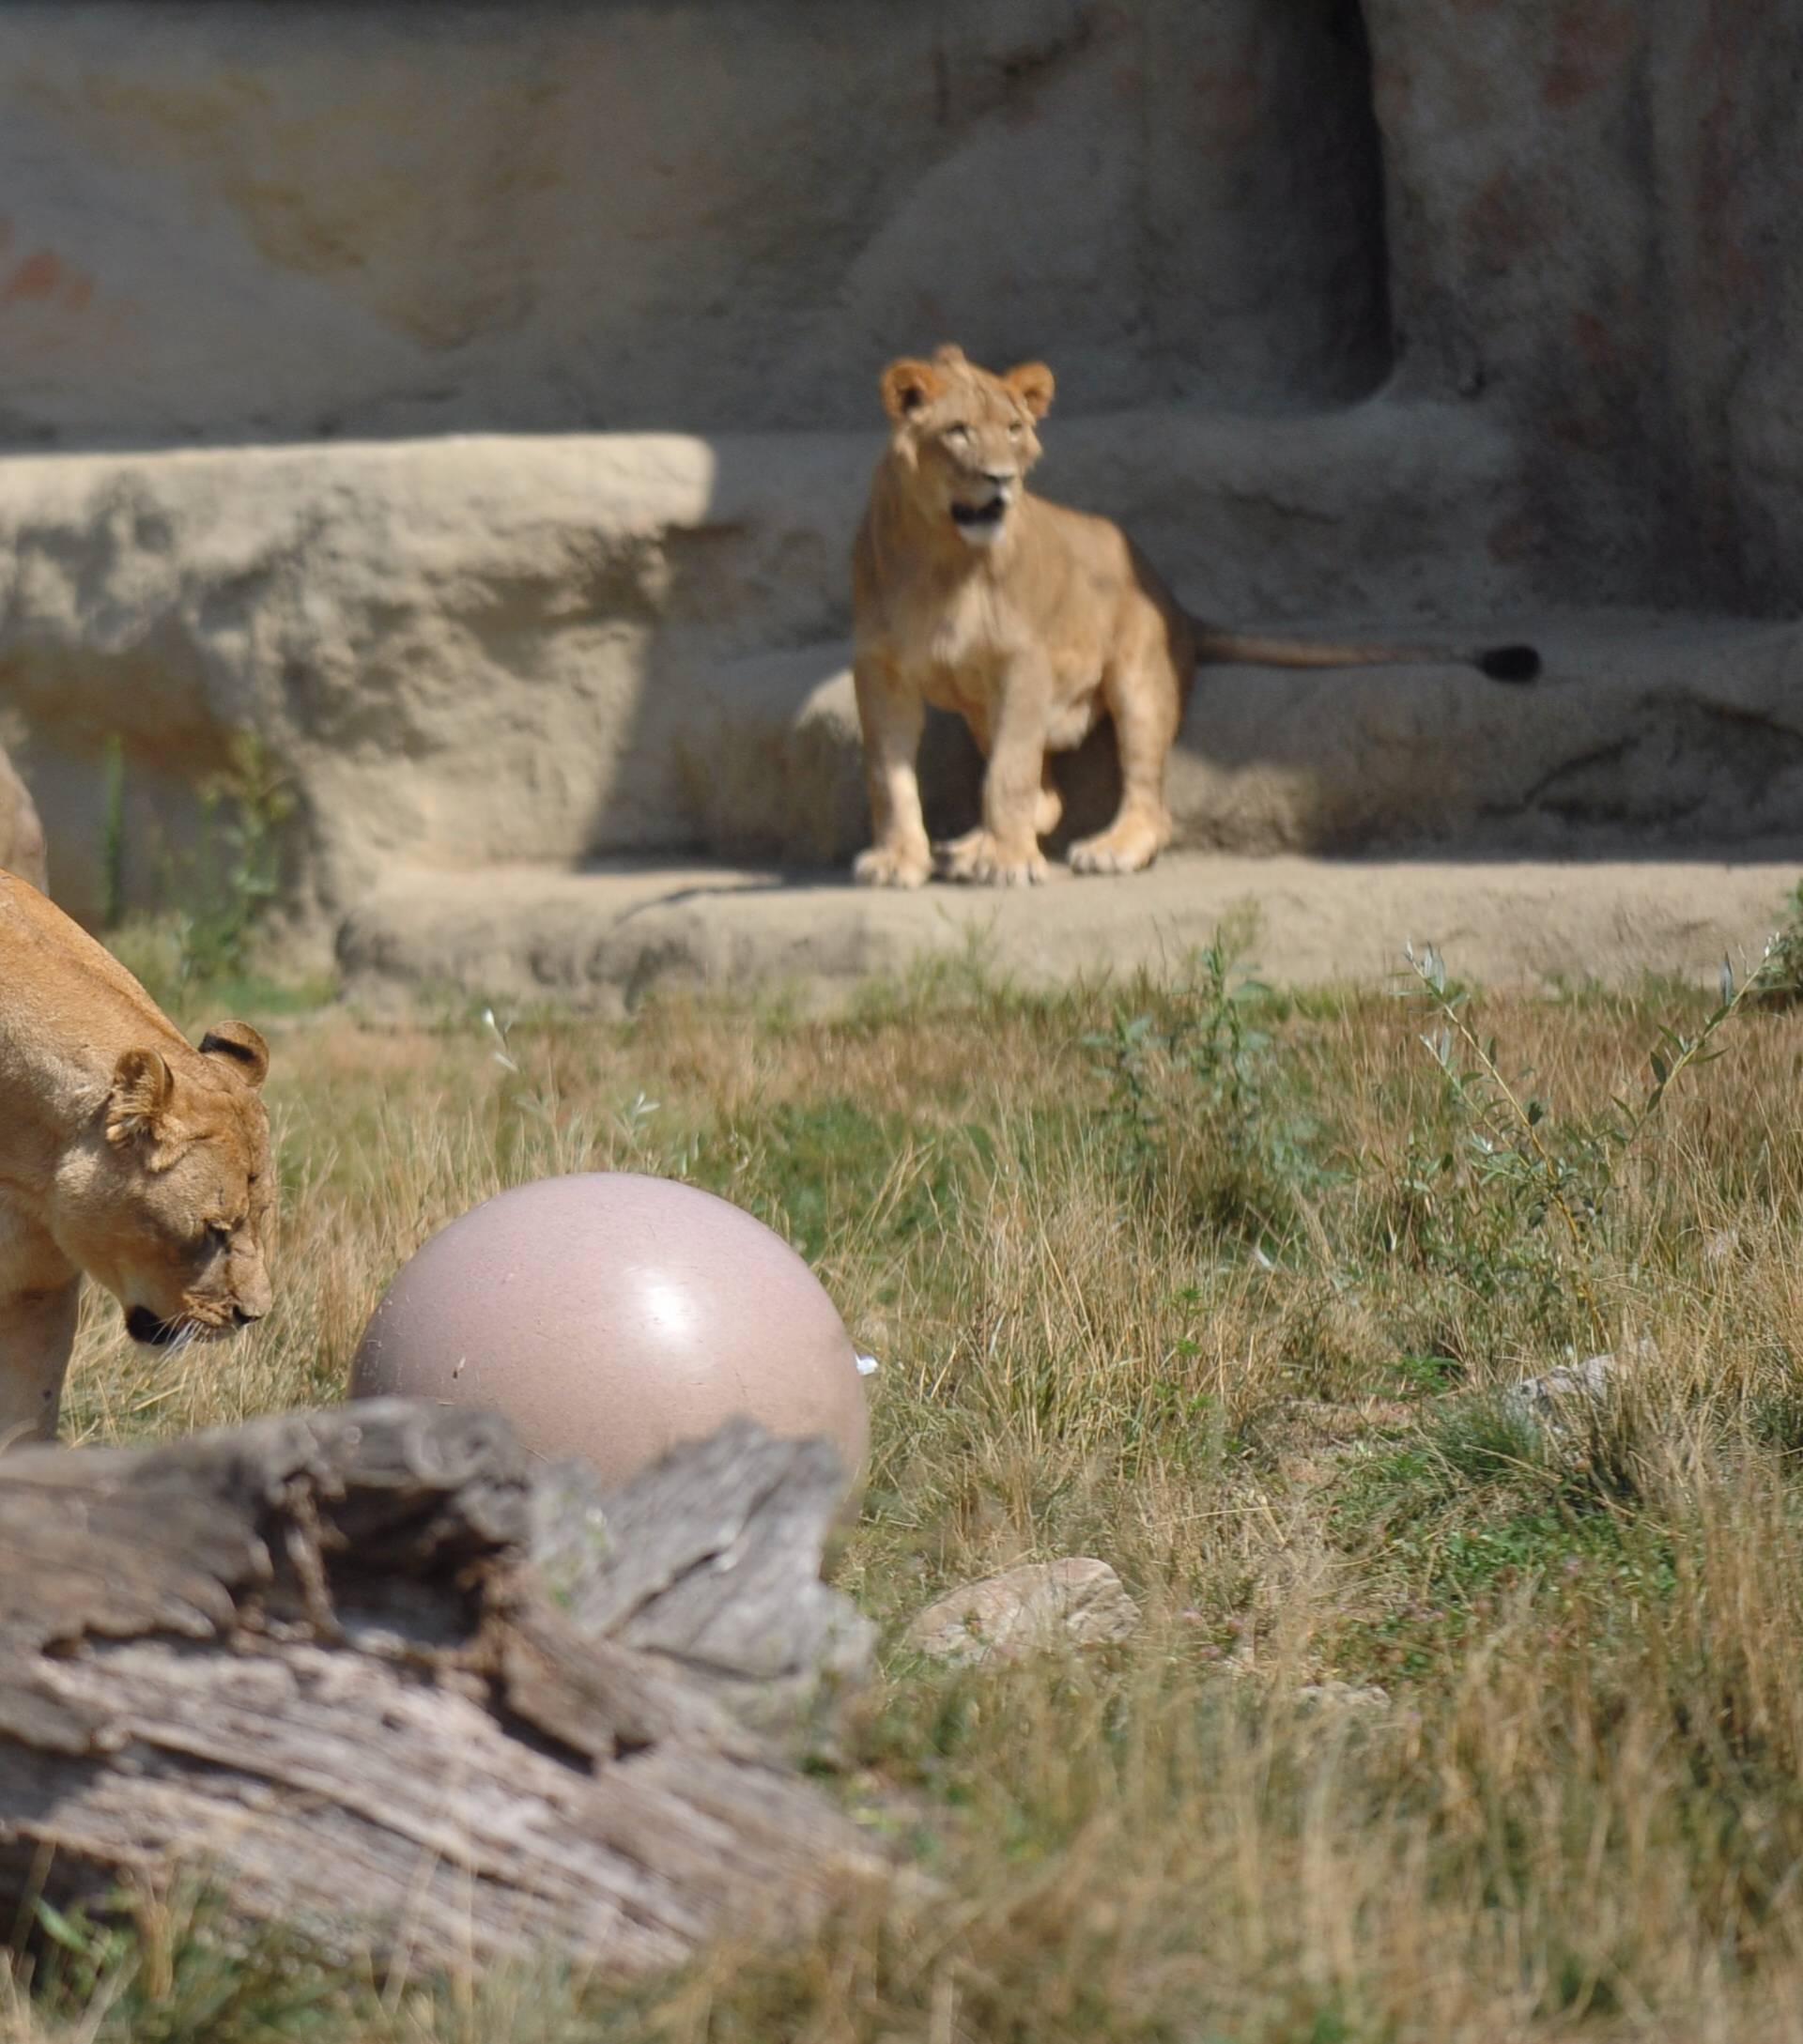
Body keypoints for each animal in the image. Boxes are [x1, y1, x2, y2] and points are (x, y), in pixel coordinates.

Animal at [846, 345, 1529, 886]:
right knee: (1052, 796)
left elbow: (1008, 775)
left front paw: (1010, 863)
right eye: (959, 431)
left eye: (1013, 428)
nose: (1001, 480)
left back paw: (1105, 849)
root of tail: (1172, 597)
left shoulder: (1025, 663)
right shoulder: (878, 670)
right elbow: (887, 774)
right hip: (986, 709)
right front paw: (900, 860)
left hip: (1139, 680)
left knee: (1148, 805)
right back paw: (971, 846)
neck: (940, 560)